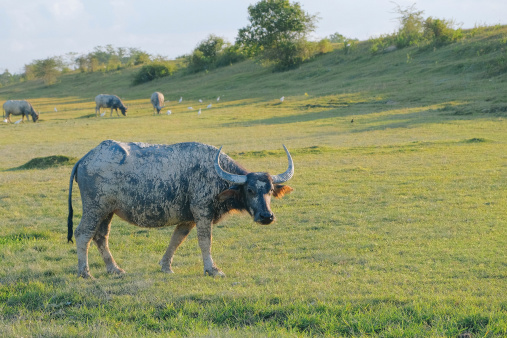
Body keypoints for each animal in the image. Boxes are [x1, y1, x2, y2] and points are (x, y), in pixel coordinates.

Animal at [69, 140, 296, 278]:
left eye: (270, 190)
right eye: (249, 190)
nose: (266, 216)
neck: (216, 177)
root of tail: (84, 159)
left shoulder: (188, 218)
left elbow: (176, 239)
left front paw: (166, 266)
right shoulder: (202, 212)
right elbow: (205, 241)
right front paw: (212, 269)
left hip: (107, 211)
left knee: (100, 236)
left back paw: (114, 269)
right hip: (95, 208)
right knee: (83, 234)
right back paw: (84, 272)